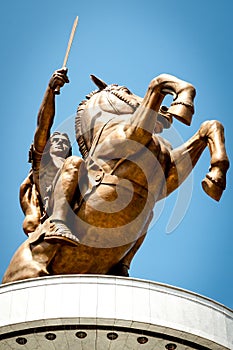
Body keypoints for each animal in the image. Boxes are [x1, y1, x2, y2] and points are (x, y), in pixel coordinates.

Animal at [2, 70, 229, 282]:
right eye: (126, 90)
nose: (165, 112)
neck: (111, 124)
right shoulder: (132, 134)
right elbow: (158, 81)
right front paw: (183, 104)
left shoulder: (170, 174)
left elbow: (210, 126)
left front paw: (215, 179)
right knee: (73, 163)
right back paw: (60, 231)